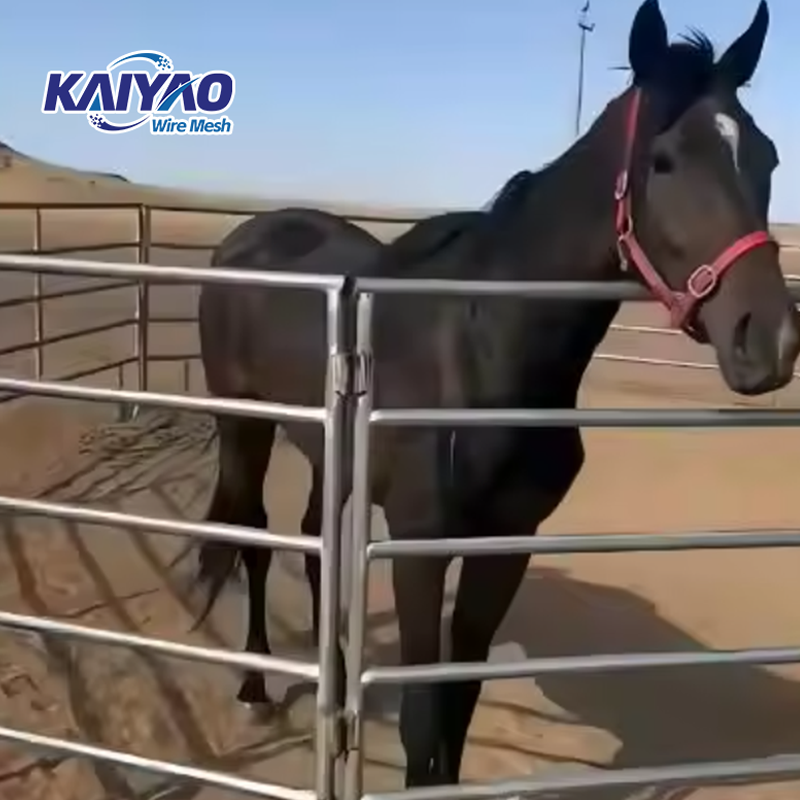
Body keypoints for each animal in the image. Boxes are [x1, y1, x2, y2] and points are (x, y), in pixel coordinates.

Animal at [194, 0, 800, 788]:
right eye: (664, 160)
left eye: (767, 157)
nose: (773, 340)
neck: (486, 353)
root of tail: (249, 238)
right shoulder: (420, 546)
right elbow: (423, 715)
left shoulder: (505, 547)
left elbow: (460, 702)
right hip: (245, 425)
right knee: (254, 536)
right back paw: (254, 688)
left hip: (327, 446)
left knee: (310, 542)